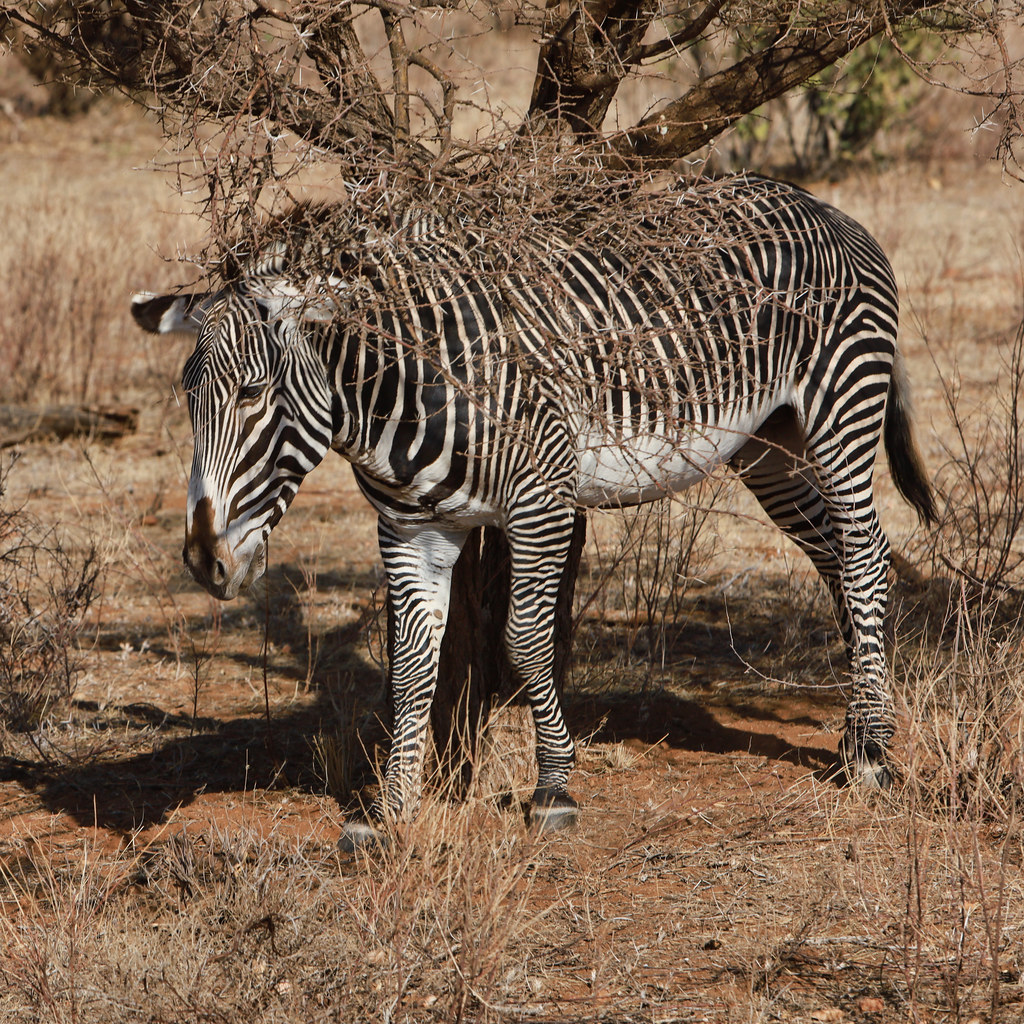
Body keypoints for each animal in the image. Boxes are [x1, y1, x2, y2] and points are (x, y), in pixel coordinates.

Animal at [132, 173, 936, 850]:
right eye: (187, 396)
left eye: (252, 394)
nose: (205, 561)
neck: (400, 392)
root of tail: (825, 207)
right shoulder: (413, 529)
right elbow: (412, 664)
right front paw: (392, 808)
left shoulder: (541, 501)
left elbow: (523, 641)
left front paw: (553, 788)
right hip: (770, 445)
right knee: (838, 560)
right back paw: (858, 731)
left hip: (838, 410)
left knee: (866, 557)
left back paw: (874, 751)